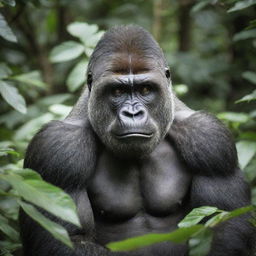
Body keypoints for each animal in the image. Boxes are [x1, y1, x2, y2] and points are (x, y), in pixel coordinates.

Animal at [20, 25, 254, 256]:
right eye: (117, 91)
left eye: (145, 89)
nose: (133, 114)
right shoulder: (57, 148)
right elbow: (67, 237)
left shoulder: (211, 139)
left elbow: (224, 222)